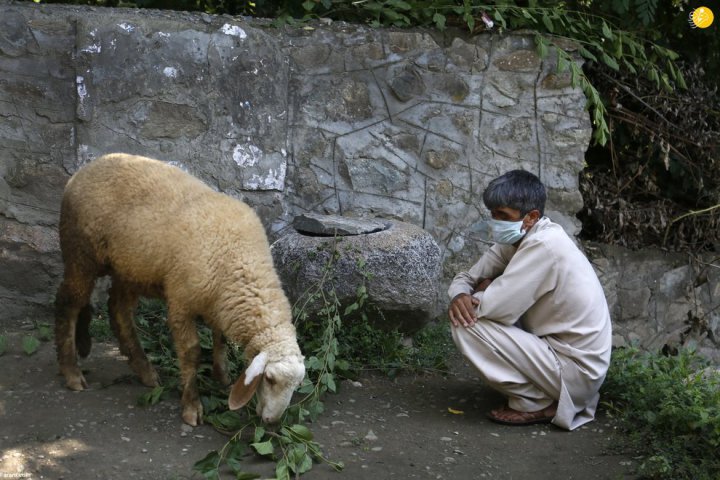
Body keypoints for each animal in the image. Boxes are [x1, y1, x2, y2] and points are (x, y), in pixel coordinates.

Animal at [53, 152, 306, 426]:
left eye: (296, 385)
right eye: (269, 379)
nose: (272, 420)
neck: (238, 260)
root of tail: (89, 166)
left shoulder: (219, 301)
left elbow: (221, 338)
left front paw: (222, 376)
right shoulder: (181, 302)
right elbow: (191, 352)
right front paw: (191, 406)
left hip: (129, 268)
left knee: (118, 310)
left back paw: (144, 370)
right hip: (81, 253)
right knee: (69, 303)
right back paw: (72, 372)